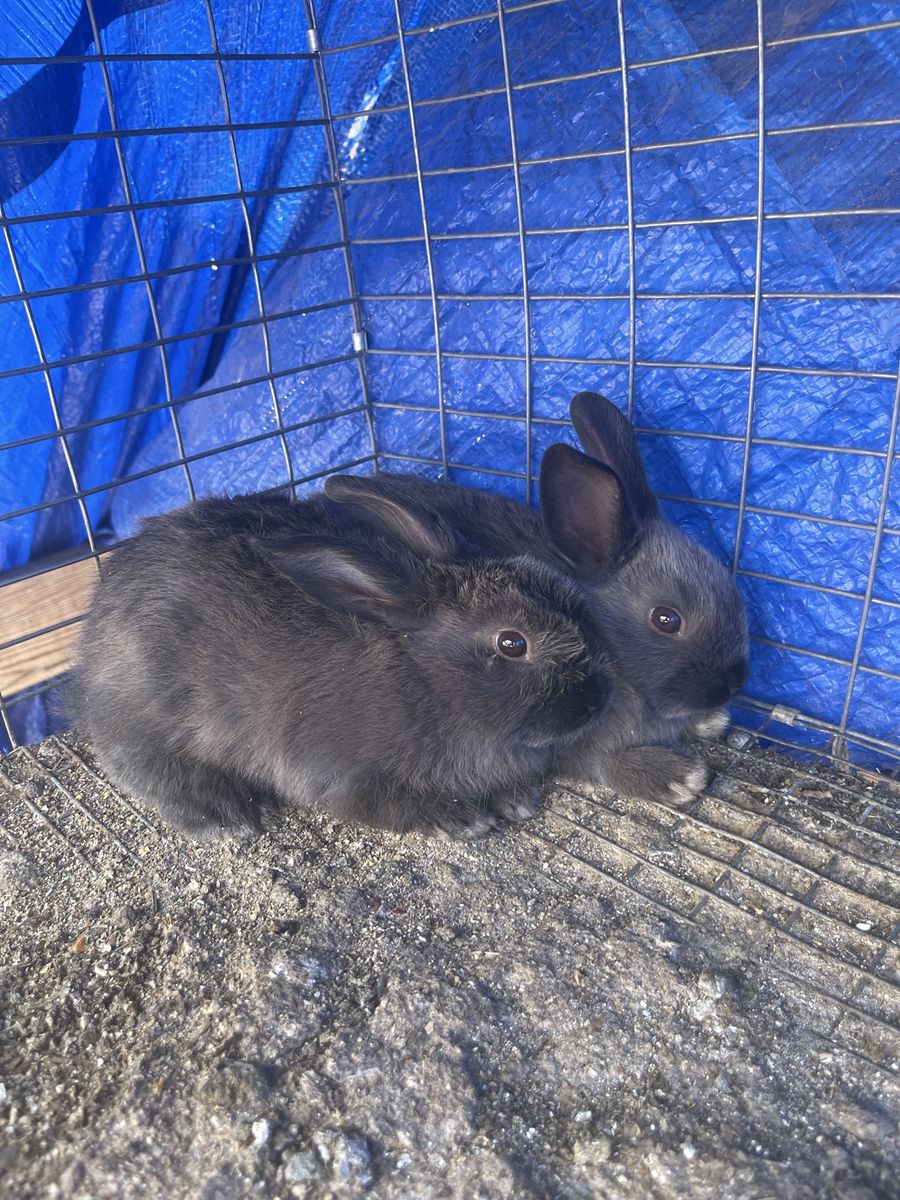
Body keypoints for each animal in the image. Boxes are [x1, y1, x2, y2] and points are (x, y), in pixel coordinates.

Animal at [72, 490, 612, 840]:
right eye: (512, 643)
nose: (598, 701)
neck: (426, 676)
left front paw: (515, 799)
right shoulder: (341, 775)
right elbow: (383, 803)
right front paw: (461, 819)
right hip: (150, 716)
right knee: (149, 772)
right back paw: (230, 818)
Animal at [322, 390, 749, 806]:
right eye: (666, 619)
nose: (735, 683)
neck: (606, 644)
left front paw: (711, 721)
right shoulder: (571, 743)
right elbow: (604, 765)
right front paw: (678, 777)